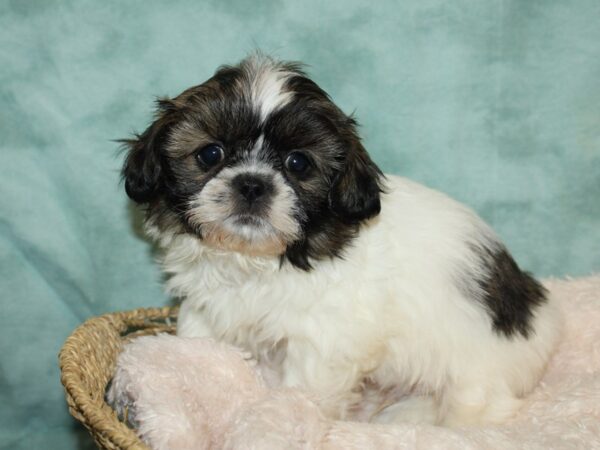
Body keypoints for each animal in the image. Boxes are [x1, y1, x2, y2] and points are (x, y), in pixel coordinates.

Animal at [122, 52, 564, 426]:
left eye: (298, 163)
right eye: (210, 154)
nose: (252, 184)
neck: (263, 260)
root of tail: (542, 317)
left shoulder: (324, 337)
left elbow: (304, 389)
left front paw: (284, 415)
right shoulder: (209, 307)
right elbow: (200, 340)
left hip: (475, 378)